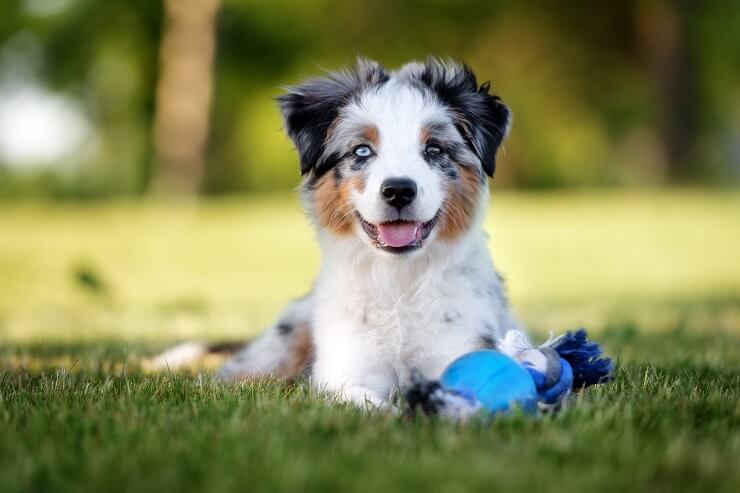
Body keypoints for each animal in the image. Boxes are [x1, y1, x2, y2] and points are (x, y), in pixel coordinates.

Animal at [214, 58, 524, 408]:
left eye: (434, 149)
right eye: (362, 151)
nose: (399, 190)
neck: (398, 282)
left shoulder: (462, 345)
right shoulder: (344, 374)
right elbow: (371, 406)